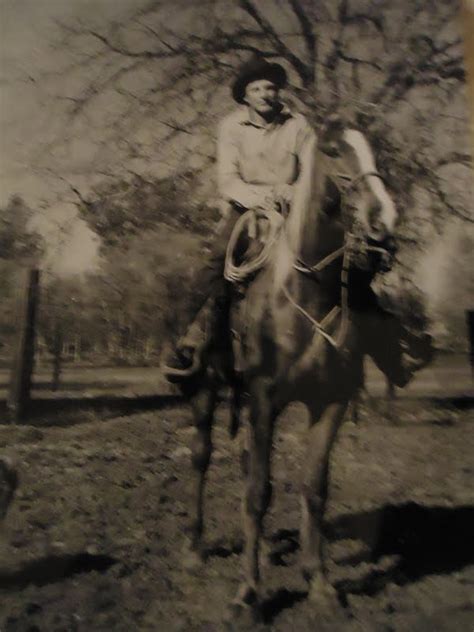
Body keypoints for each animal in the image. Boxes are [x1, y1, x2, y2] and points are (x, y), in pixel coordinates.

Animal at [178, 126, 400, 620]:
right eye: (335, 151)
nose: (385, 222)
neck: (305, 293)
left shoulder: (330, 402)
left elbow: (313, 488)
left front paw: (319, 585)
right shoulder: (264, 399)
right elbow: (258, 494)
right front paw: (247, 595)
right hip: (206, 390)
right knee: (201, 457)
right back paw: (196, 546)